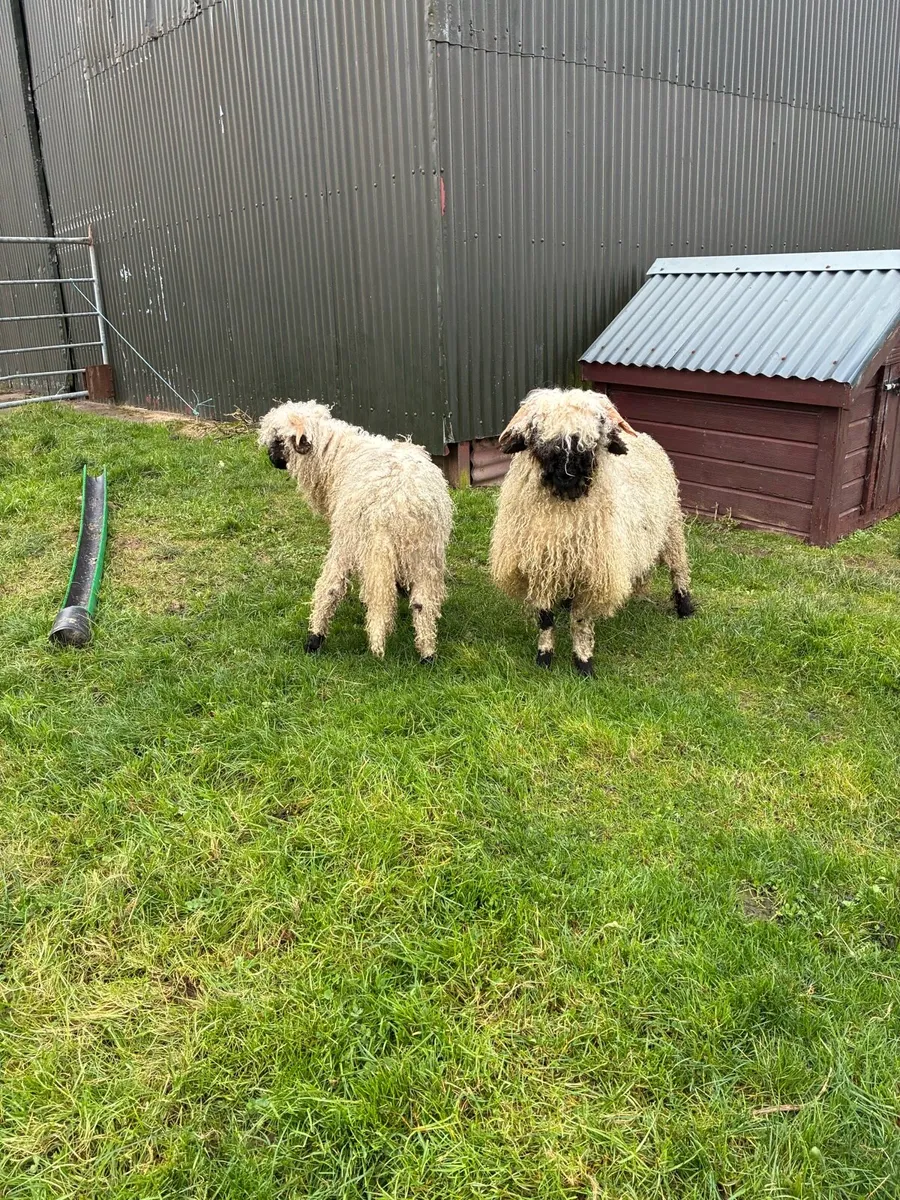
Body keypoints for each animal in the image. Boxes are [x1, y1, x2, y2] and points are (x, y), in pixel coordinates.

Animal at [258, 401, 453, 662]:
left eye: (278, 440)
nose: (271, 460)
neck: (335, 455)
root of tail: (394, 503)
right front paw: (401, 589)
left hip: (350, 538)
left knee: (330, 587)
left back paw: (314, 639)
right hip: (425, 550)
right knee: (423, 602)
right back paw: (427, 653)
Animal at [489, 387, 694, 675]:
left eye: (596, 434)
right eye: (537, 433)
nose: (569, 473)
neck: (565, 505)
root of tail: (645, 436)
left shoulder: (593, 572)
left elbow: (581, 620)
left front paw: (584, 664)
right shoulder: (539, 567)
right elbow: (545, 618)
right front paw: (544, 658)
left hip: (671, 527)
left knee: (678, 569)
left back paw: (685, 607)